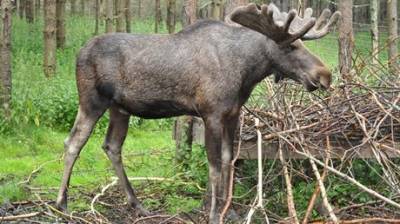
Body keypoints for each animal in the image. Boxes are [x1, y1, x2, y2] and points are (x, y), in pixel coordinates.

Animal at [56, 3, 340, 224]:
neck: (246, 73)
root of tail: (78, 53)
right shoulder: (211, 113)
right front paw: (214, 214)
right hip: (92, 101)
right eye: (290, 47)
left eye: (302, 43)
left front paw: (230, 211)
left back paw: (137, 204)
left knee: (112, 146)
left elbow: (229, 159)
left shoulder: (232, 113)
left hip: (120, 108)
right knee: (73, 142)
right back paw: (62, 203)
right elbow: (213, 165)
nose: (325, 75)